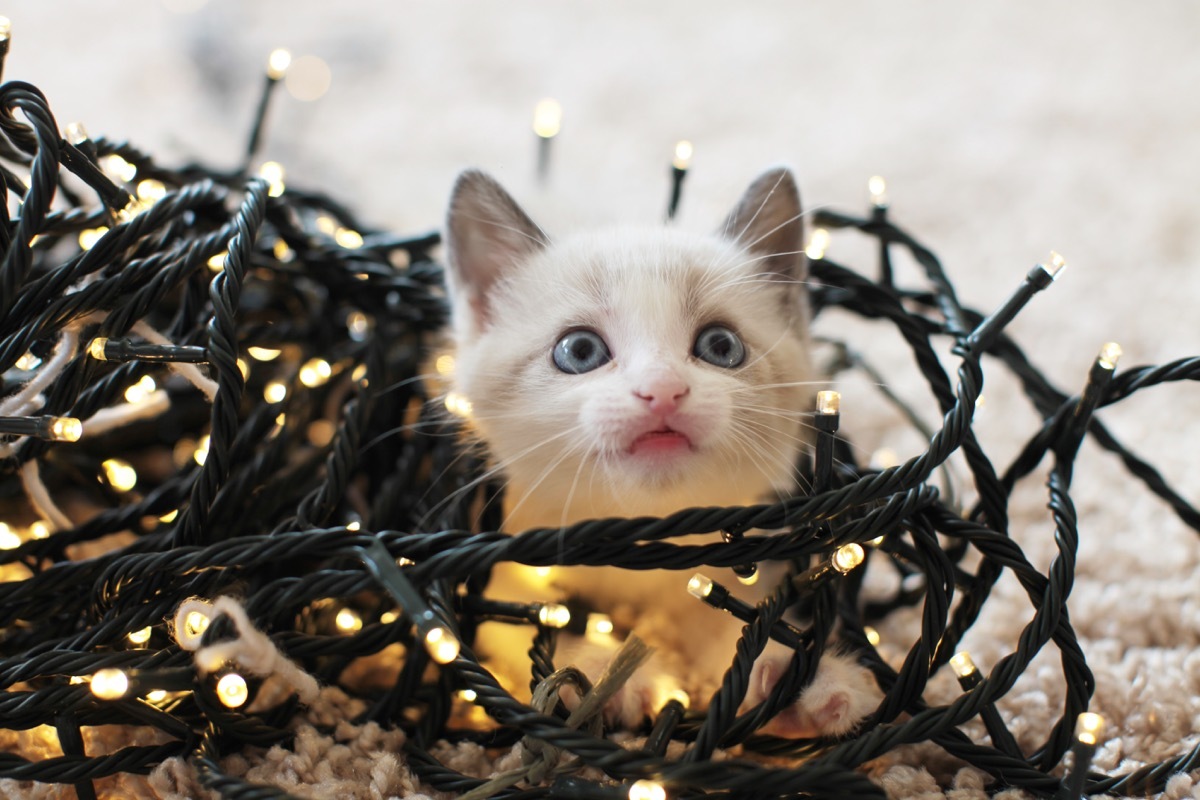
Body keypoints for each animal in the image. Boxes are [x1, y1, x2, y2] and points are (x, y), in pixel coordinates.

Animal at [446, 167, 878, 738]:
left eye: (721, 346)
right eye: (579, 351)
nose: (663, 390)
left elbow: (725, 613)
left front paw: (800, 677)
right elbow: (518, 616)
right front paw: (603, 671)